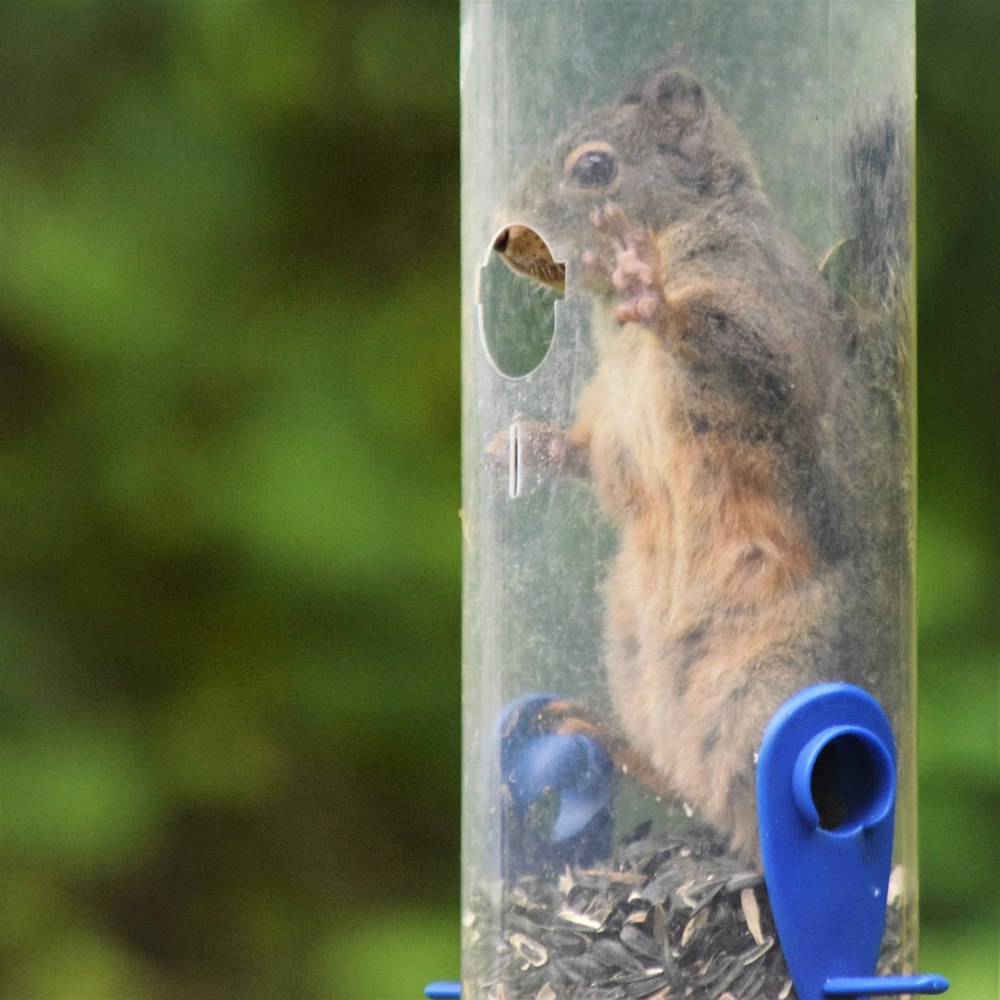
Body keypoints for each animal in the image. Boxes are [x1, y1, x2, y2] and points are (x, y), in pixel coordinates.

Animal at [488, 62, 912, 864]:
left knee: (760, 801)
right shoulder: (611, 424)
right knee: (681, 774)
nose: (503, 234)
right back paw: (607, 739)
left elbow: (744, 353)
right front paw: (524, 443)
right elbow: (591, 458)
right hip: (631, 660)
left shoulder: (758, 303)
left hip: (770, 683)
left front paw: (648, 290)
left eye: (595, 167)